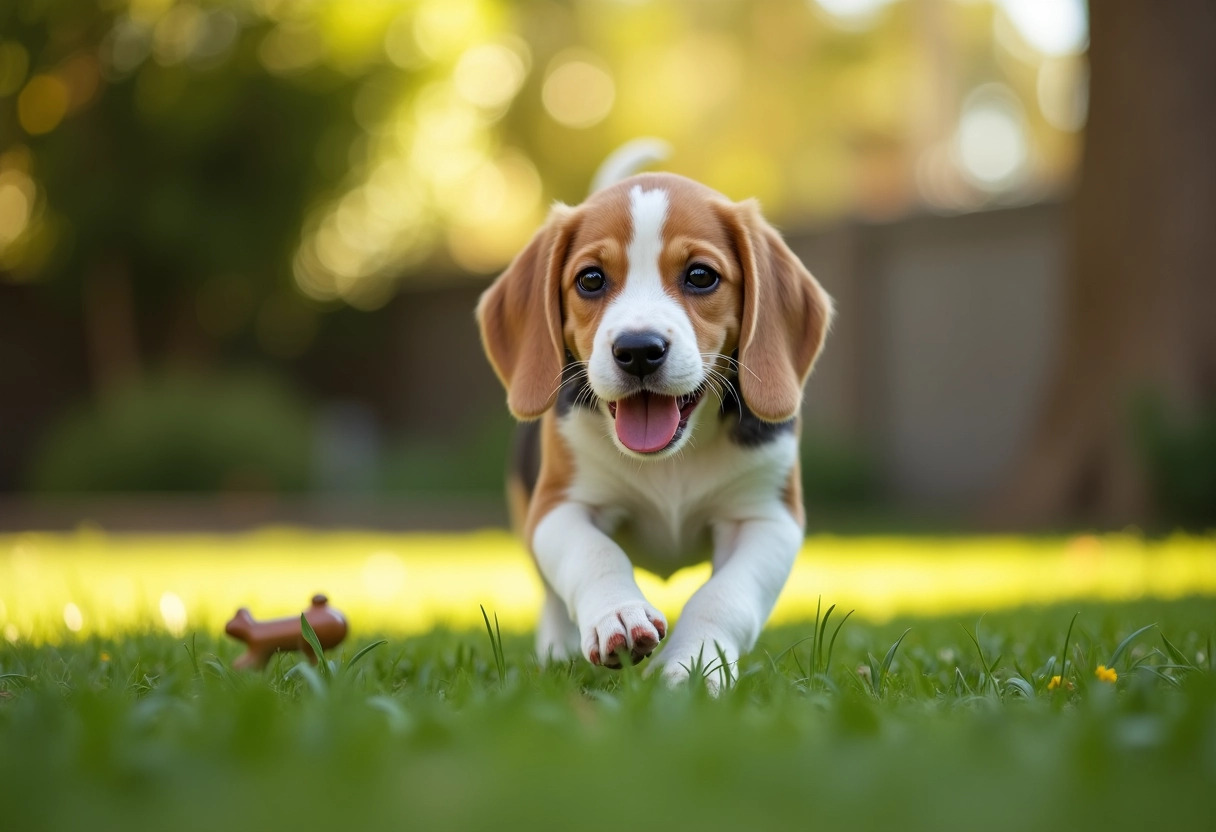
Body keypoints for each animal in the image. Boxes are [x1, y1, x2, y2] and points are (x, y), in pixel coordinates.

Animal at [479, 165, 831, 686]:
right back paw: (557, 651)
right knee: (552, 598)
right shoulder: (559, 506)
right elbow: (595, 553)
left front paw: (694, 663)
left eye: (701, 276)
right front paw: (618, 616)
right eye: (590, 279)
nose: (639, 349)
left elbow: (724, 596)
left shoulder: (766, 518)